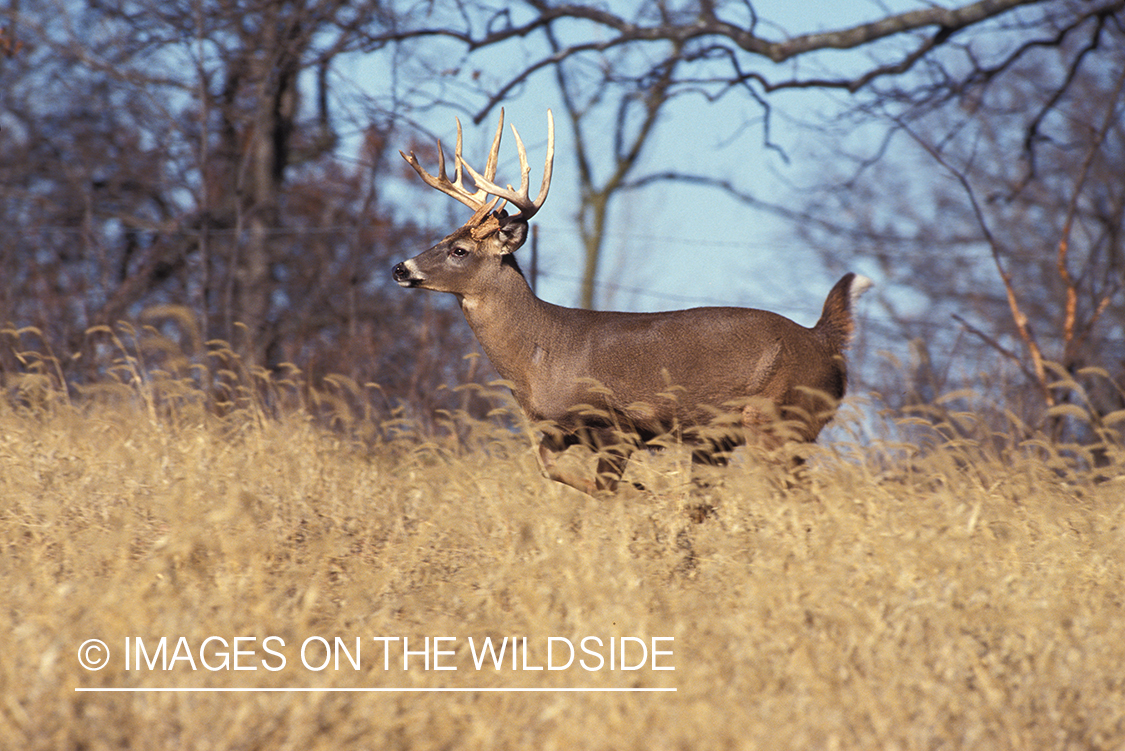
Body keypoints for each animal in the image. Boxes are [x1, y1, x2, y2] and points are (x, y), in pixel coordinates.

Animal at [391, 111, 873, 494]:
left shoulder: (615, 427)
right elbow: (547, 468)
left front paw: (640, 496)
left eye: (459, 251)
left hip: (776, 418)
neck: (541, 355)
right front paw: (643, 494)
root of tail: (823, 338)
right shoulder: (560, 431)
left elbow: (603, 490)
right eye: (443, 238)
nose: (400, 268)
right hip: (722, 439)